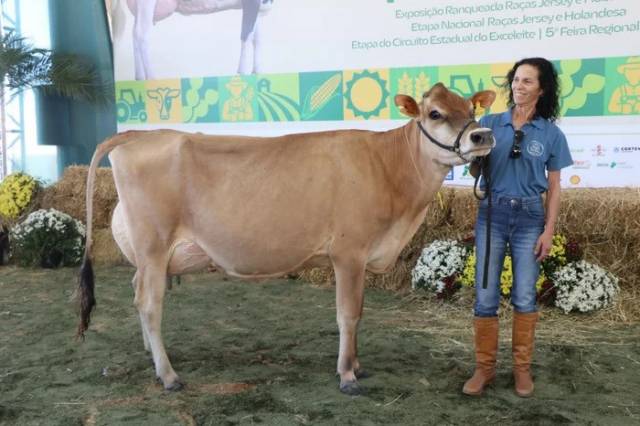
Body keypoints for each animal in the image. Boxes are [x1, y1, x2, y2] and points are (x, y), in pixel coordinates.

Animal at [77, 83, 496, 395]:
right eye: (435, 113)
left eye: (471, 108)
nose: (482, 135)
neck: (390, 169)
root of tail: (136, 136)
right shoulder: (349, 252)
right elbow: (349, 314)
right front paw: (347, 375)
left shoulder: (360, 257)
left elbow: (359, 313)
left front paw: (358, 364)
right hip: (154, 245)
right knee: (150, 304)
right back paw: (168, 375)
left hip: (151, 256)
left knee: (137, 294)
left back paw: (151, 355)